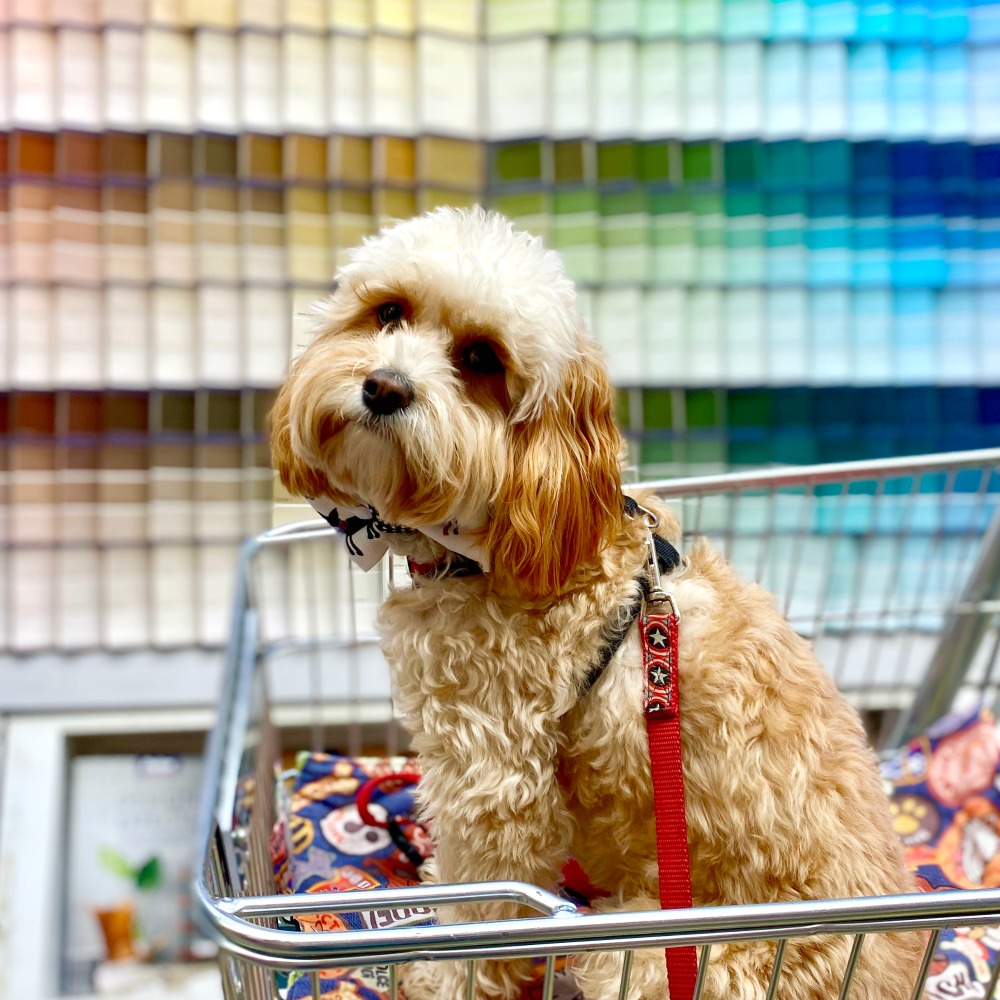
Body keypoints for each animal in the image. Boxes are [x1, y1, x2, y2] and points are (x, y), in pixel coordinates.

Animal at [270, 205, 924, 1000]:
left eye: (481, 358)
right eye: (388, 311)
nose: (384, 387)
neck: (508, 536)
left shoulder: (495, 773)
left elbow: (485, 904)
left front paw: (442, 977)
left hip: (653, 962)